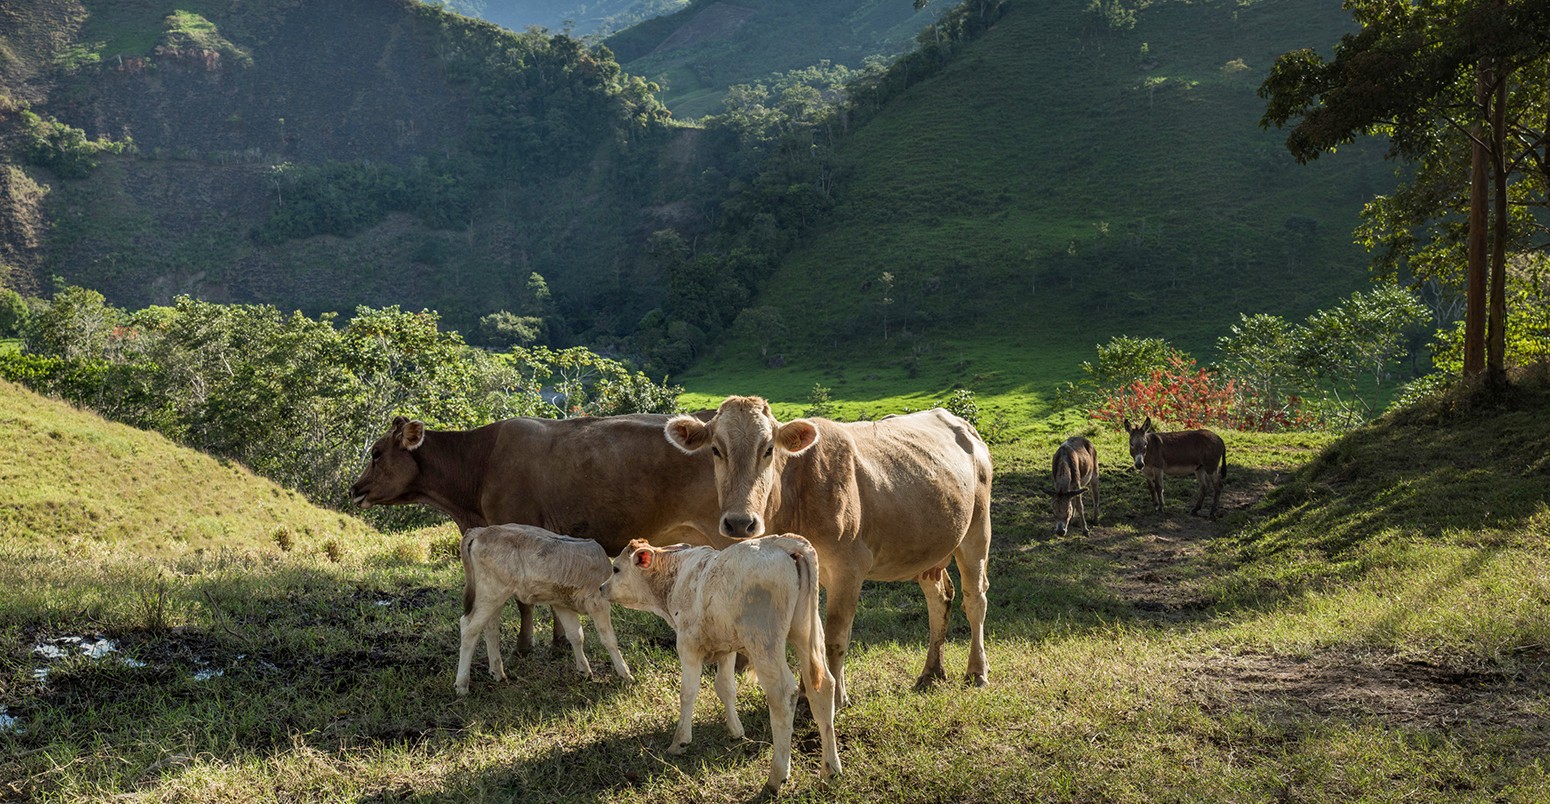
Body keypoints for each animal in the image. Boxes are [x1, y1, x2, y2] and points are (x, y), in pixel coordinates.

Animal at [455, 526, 632, 694]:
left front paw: (584, 671)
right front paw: (625, 673)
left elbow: (576, 635)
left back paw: (497, 673)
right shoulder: (598, 602)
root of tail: (482, 531)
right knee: (469, 630)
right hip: (490, 593)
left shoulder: (562, 603)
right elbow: (609, 639)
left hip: (494, 596)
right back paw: (462, 685)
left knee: (490, 628)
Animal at [598, 536, 843, 793]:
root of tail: (780, 543)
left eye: (616, 569)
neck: (677, 577)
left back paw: (776, 777)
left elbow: (687, 692)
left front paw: (680, 741)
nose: (601, 587)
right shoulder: (726, 649)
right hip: (806, 633)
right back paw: (830, 769)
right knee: (823, 687)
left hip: (764, 643)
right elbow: (725, 688)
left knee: (783, 694)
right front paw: (736, 731)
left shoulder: (688, 647)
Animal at [660, 395, 985, 706]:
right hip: (929, 550)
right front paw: (806, 694)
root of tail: (958, 421)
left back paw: (976, 671)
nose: (740, 522)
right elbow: (809, 635)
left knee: (974, 600)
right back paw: (931, 673)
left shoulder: (849, 568)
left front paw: (837, 697)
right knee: (939, 599)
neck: (796, 493)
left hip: (976, 530)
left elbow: (835, 637)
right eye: (716, 449)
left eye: (768, 449)